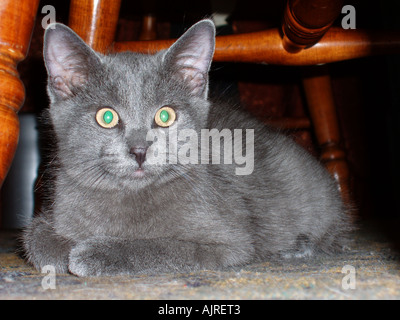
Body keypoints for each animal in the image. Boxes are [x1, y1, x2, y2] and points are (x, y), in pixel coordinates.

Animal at [23, 20, 352, 276]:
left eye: (165, 116)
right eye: (106, 117)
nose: (139, 150)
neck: (127, 196)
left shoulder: (227, 242)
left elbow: (165, 247)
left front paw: (94, 253)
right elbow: (36, 237)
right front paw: (64, 247)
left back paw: (298, 247)